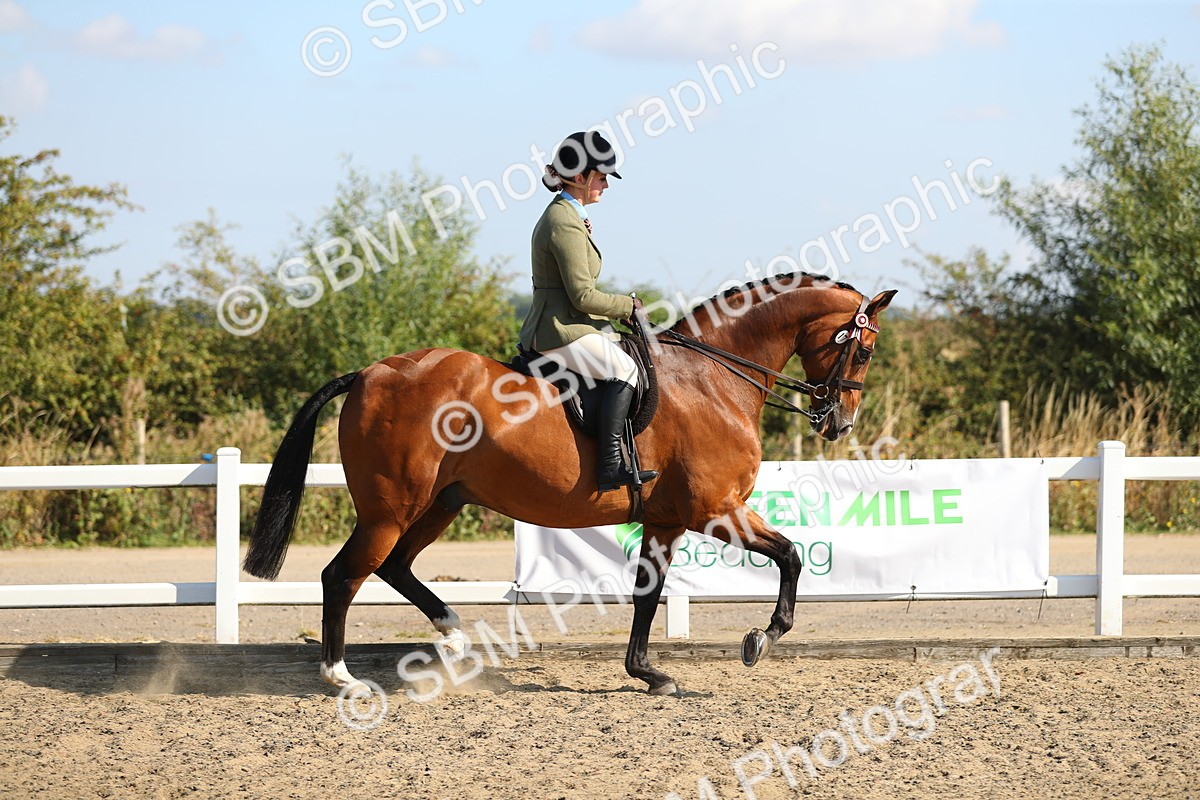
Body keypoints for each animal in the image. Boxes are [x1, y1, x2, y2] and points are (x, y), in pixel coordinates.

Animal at [244, 272, 897, 696]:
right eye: (864, 351)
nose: (839, 423)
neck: (713, 378)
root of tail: (369, 373)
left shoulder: (666, 520)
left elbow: (648, 593)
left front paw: (648, 674)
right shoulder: (716, 509)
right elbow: (790, 556)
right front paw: (761, 639)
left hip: (440, 503)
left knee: (395, 567)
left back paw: (453, 639)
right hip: (391, 507)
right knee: (343, 575)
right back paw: (341, 677)